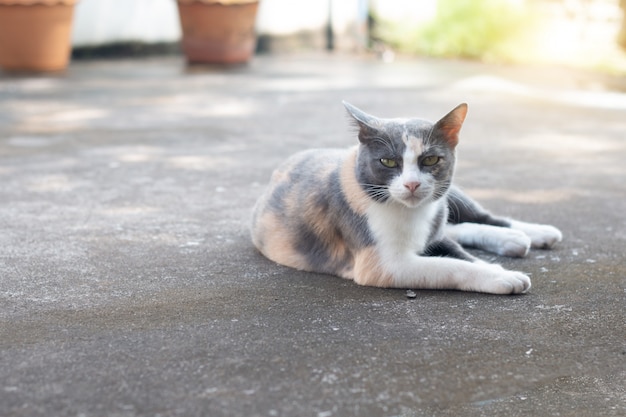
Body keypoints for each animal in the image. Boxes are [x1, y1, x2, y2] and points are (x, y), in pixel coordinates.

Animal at [249, 102, 560, 294]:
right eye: (387, 161)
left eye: (431, 159)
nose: (411, 183)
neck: (411, 214)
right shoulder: (384, 265)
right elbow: (451, 265)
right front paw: (502, 276)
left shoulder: (435, 230)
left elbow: (462, 256)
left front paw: (495, 268)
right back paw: (514, 241)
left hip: (453, 195)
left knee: (481, 218)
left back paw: (534, 233)